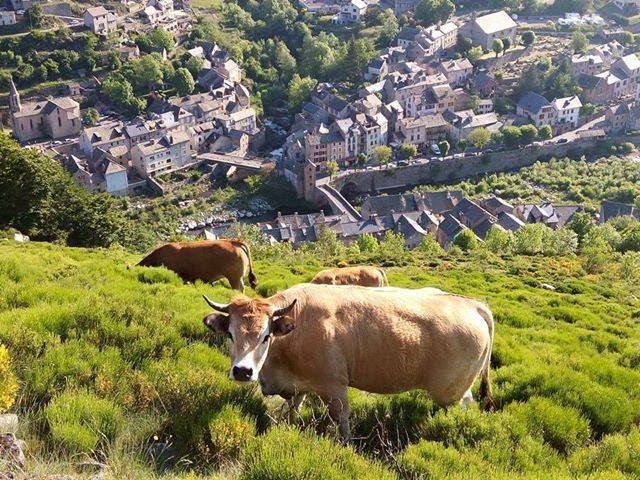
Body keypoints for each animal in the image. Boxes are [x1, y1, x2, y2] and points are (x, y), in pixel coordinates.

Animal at [202, 284, 492, 440]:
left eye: (266, 336)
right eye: (230, 334)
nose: (243, 371)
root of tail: (472, 305)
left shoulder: (333, 387)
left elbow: (342, 421)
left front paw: (347, 444)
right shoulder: (298, 385)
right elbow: (292, 409)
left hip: (451, 390)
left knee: (462, 405)